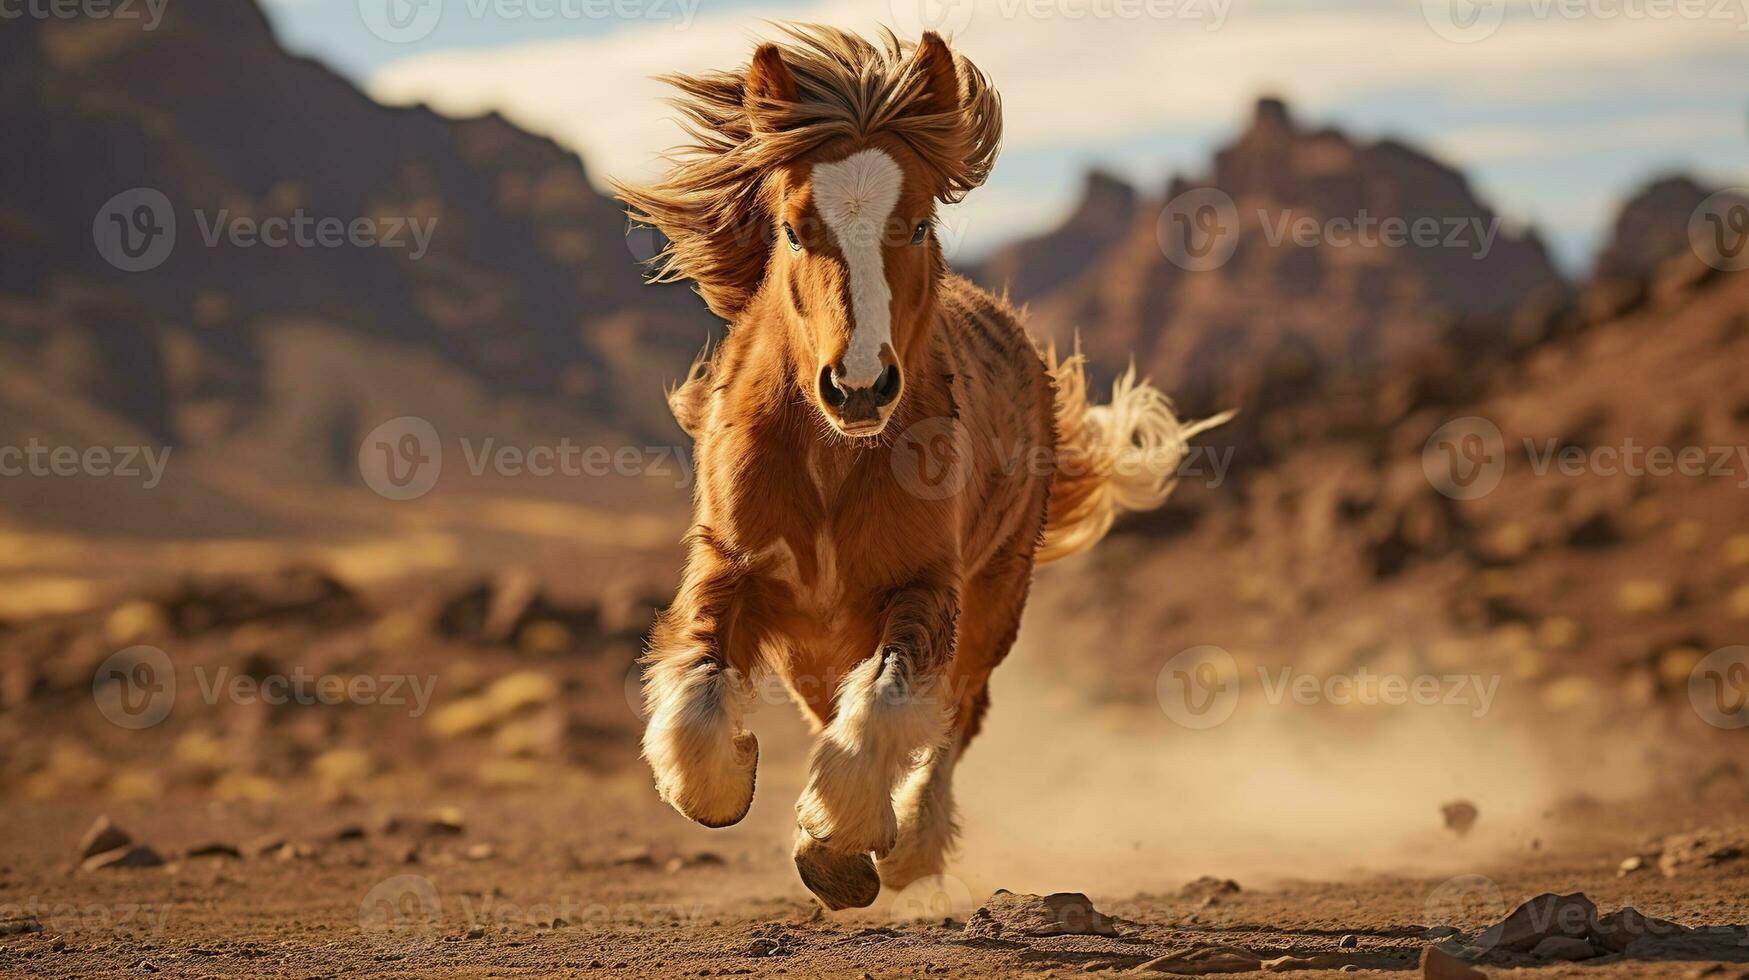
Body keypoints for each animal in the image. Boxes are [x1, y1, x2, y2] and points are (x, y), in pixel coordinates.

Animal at [619, 24, 1231, 910]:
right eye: (794, 228)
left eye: (914, 225)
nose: (859, 386)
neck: (833, 457)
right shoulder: (731, 565)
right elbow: (698, 686)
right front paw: (731, 777)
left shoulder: (924, 586)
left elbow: (890, 698)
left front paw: (846, 842)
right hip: (816, 632)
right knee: (837, 703)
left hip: (995, 596)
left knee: (955, 712)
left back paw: (911, 842)